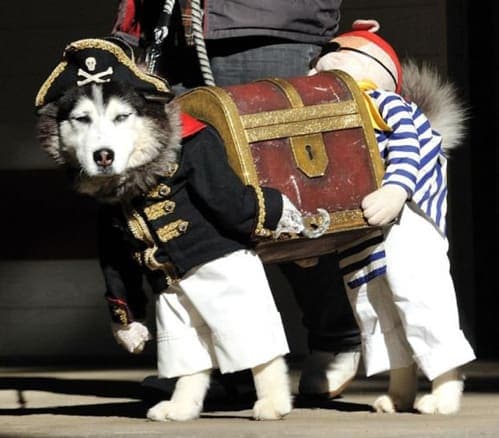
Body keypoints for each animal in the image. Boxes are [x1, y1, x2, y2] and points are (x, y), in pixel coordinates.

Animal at [36, 37, 304, 420]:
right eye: (81, 119)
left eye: (122, 117)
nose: (103, 155)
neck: (137, 180)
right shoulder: (110, 228)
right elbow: (118, 270)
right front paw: (128, 329)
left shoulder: (207, 164)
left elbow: (236, 203)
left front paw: (284, 213)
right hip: (176, 308)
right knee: (191, 355)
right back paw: (181, 407)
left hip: (233, 291)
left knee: (253, 341)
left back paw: (273, 402)